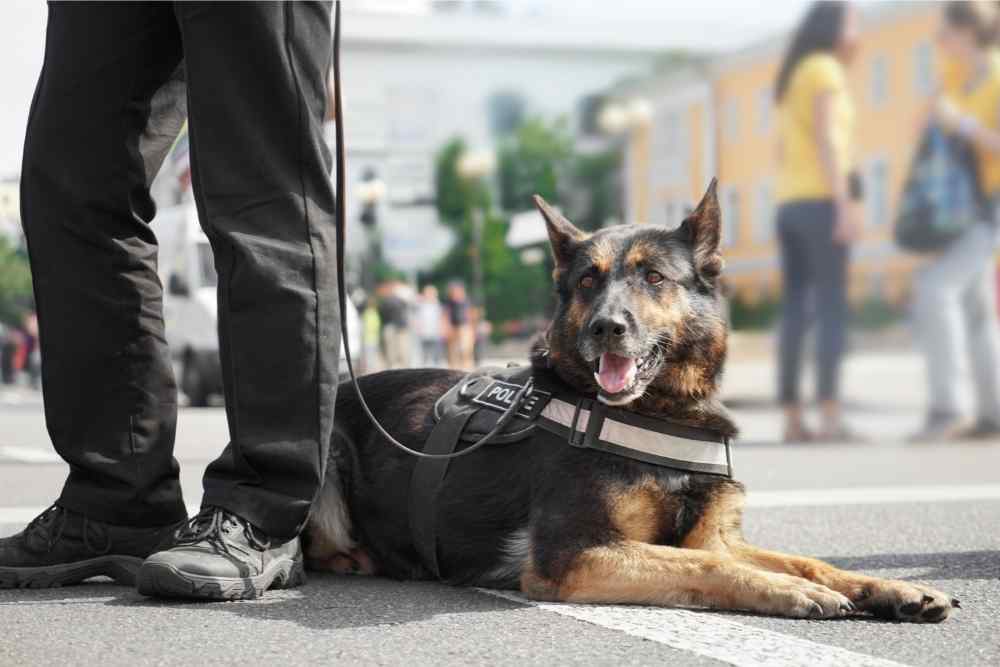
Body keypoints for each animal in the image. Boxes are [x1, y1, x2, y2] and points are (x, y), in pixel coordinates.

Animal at [302, 180, 952, 624]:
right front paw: (797, 593)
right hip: (326, 450)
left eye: (655, 278)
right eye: (588, 281)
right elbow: (713, 567)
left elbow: (801, 558)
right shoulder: (575, 554)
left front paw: (886, 587)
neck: (655, 414)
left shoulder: (711, 536)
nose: (606, 328)